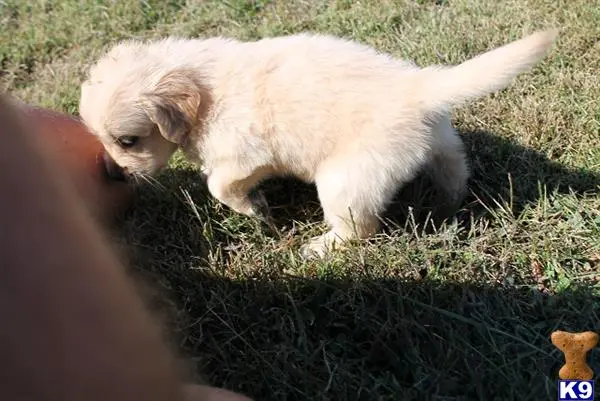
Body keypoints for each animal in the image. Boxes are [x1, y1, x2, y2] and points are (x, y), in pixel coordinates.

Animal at [78, 29, 556, 258]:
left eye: (127, 141)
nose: (112, 172)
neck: (203, 89)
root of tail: (419, 89)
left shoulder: (244, 155)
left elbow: (219, 185)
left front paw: (255, 209)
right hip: (441, 142)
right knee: (455, 168)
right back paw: (450, 203)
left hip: (344, 183)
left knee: (359, 230)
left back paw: (319, 248)